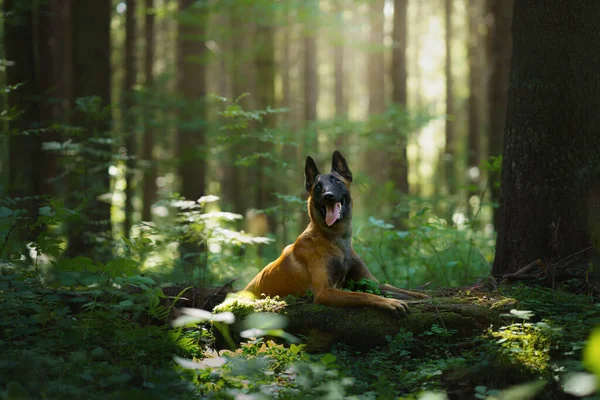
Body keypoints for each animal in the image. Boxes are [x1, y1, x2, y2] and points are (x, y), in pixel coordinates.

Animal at [240, 150, 426, 316]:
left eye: (337, 182)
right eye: (318, 187)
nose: (328, 196)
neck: (336, 239)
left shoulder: (370, 281)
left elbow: (397, 289)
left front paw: (420, 295)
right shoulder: (325, 292)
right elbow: (362, 295)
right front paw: (390, 302)